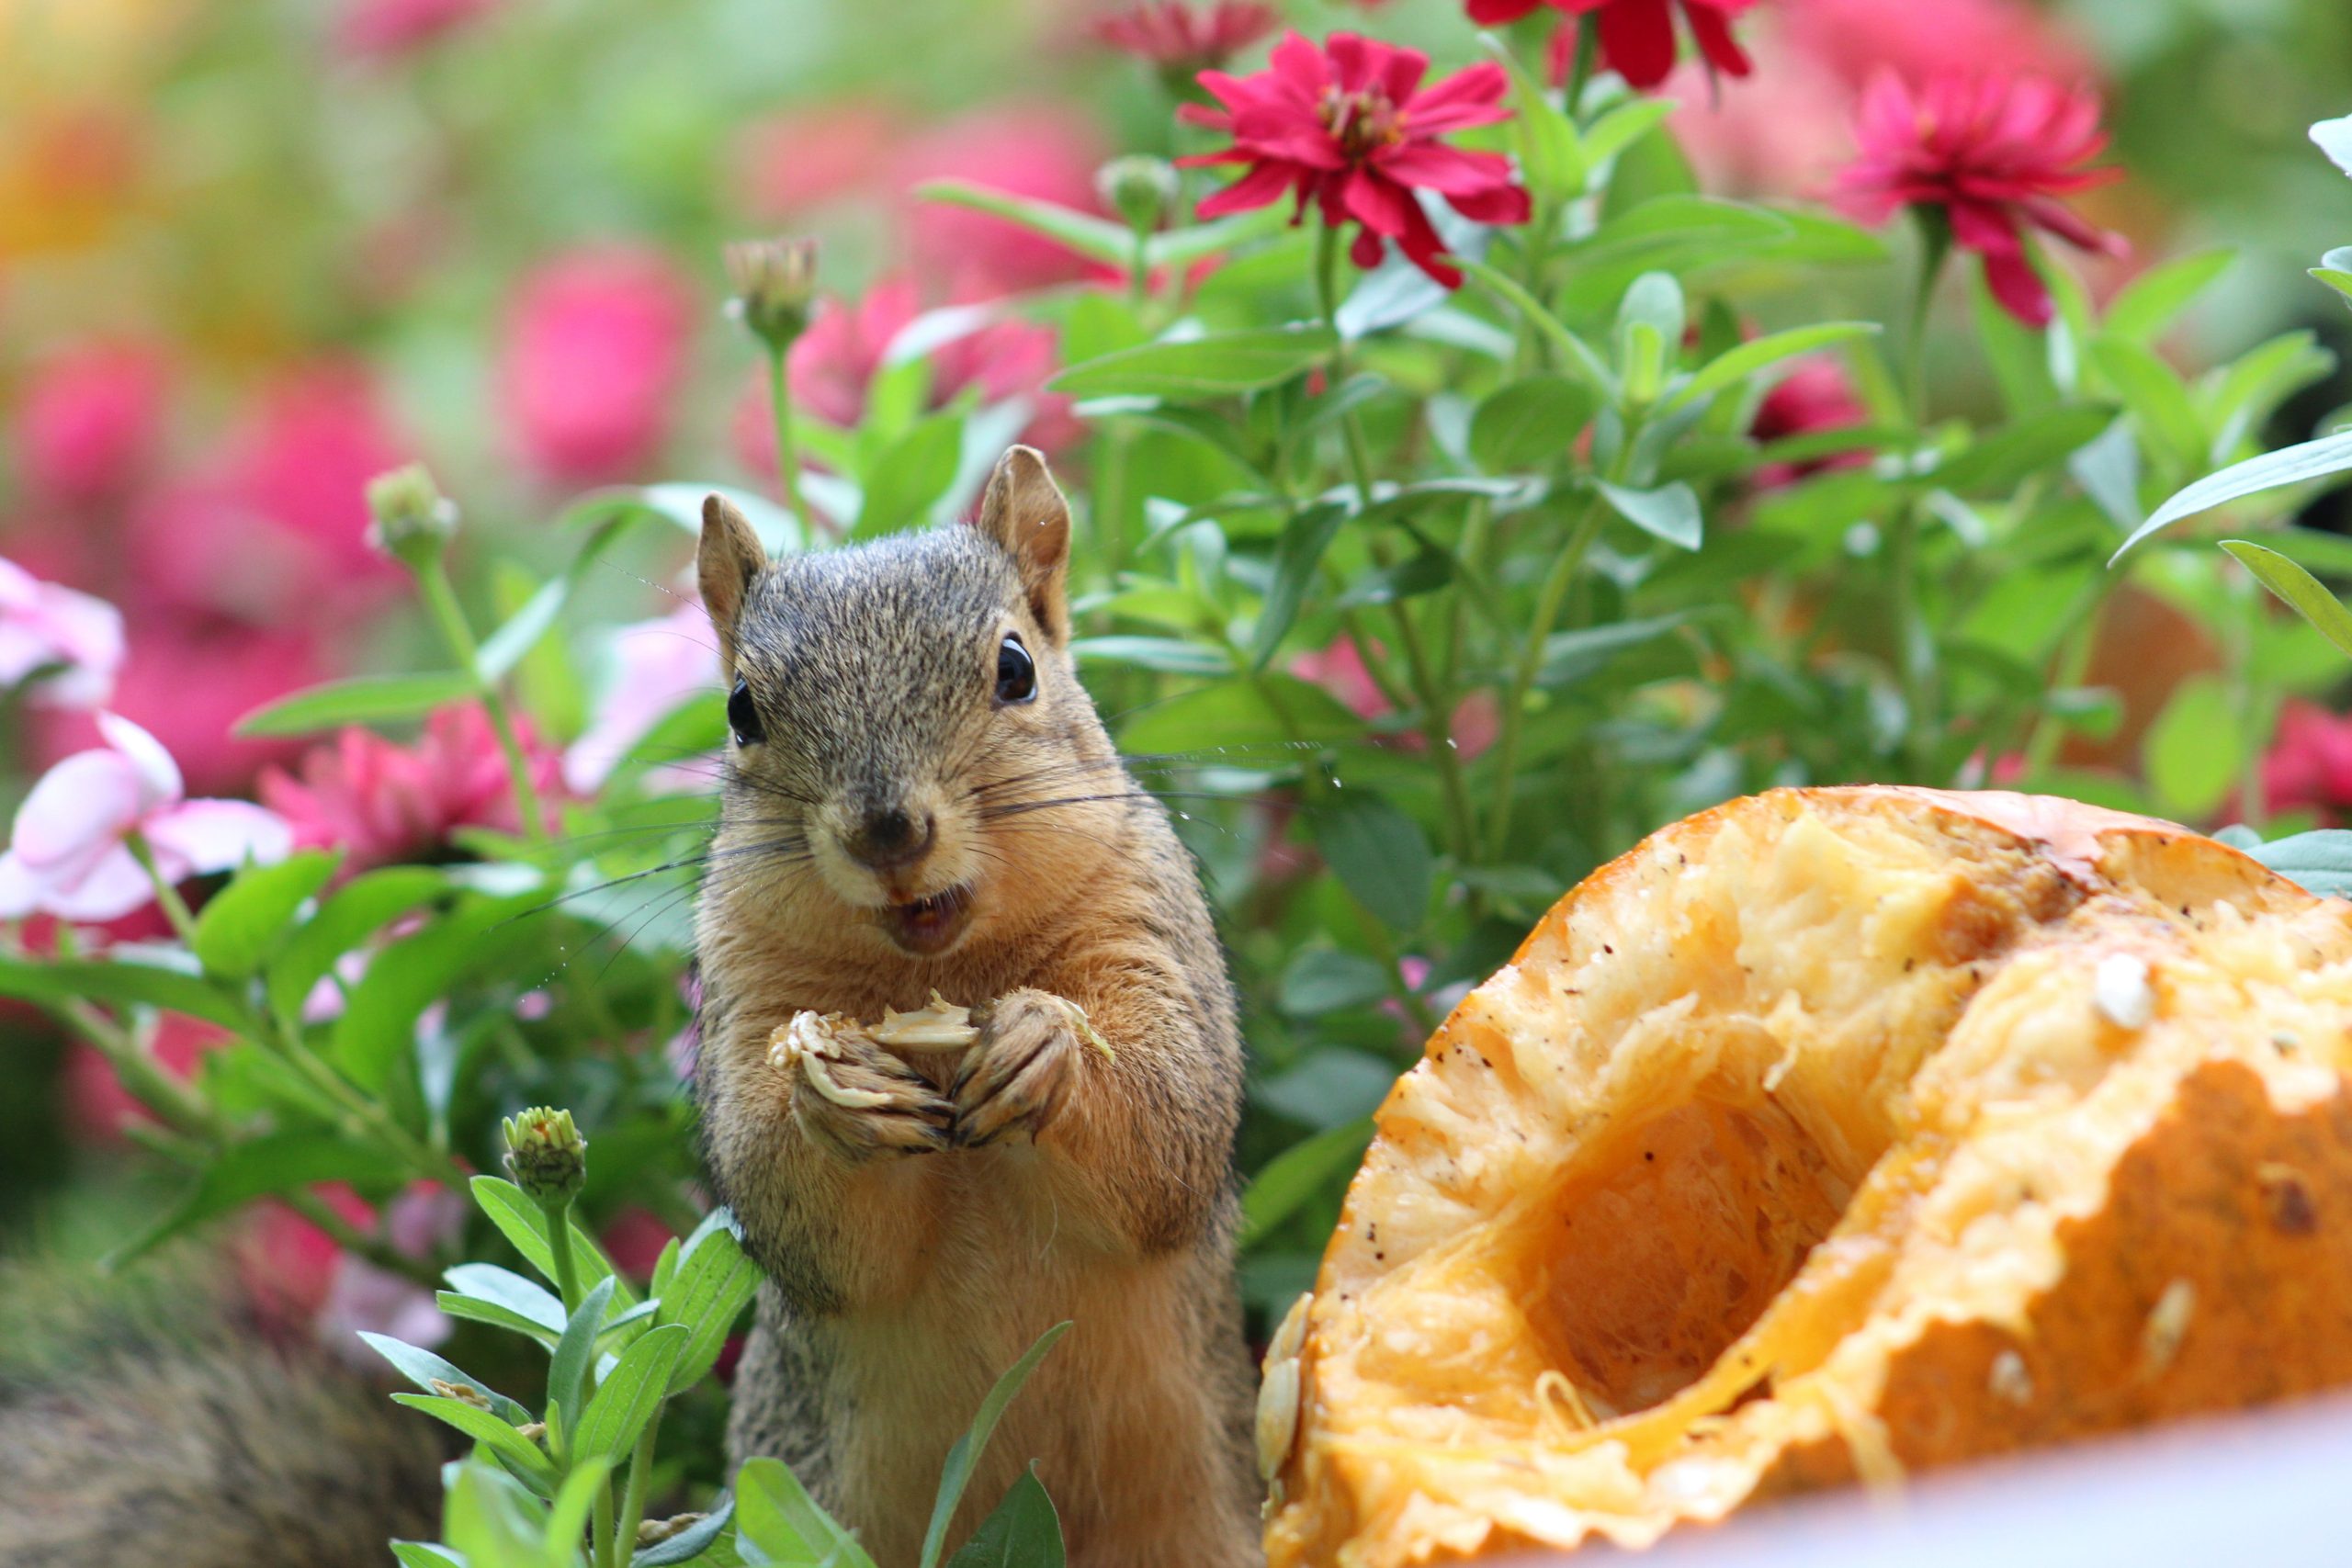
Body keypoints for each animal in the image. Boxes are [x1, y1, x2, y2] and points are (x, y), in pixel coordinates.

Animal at [695, 446, 1262, 1565]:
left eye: (1015, 667)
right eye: (741, 709)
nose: (887, 831)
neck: (940, 972)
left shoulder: (1146, 925)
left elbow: (1169, 1124)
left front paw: (1048, 1047)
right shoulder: (744, 984)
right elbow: (799, 1216)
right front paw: (833, 1091)